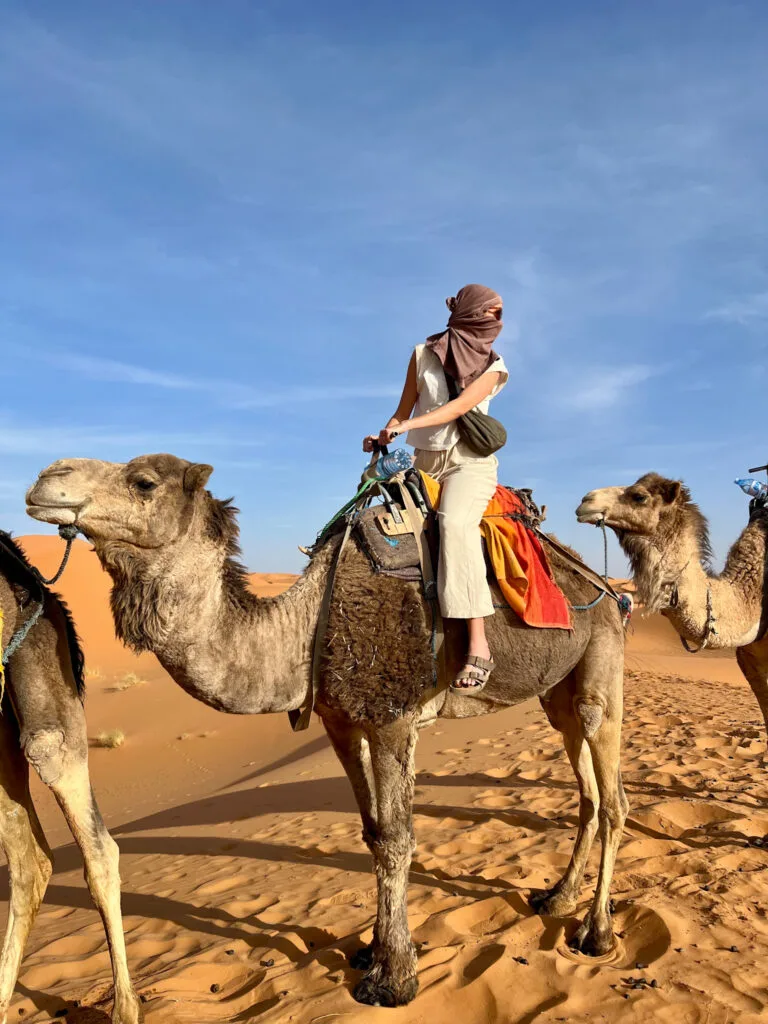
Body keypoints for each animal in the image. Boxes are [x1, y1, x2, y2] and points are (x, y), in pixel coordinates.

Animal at [27, 453, 628, 1008]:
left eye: (144, 482)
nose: (44, 479)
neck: (307, 627)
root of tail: (605, 585)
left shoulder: (391, 718)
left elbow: (397, 839)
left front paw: (393, 978)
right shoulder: (341, 723)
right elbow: (372, 833)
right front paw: (373, 950)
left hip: (602, 666)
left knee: (613, 795)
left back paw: (596, 932)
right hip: (557, 694)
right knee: (590, 793)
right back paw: (557, 899)